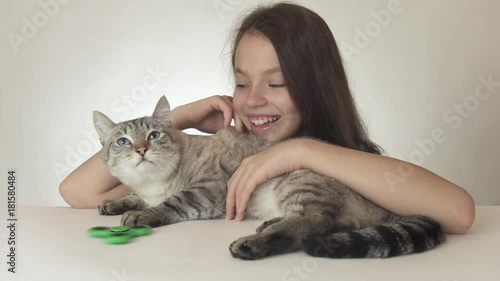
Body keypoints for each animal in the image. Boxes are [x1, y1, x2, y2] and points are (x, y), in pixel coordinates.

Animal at [94, 95, 446, 260]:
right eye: (123, 141)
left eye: (154, 136)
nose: (141, 149)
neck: (155, 183)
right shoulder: (144, 189)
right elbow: (130, 195)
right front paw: (115, 204)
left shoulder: (209, 190)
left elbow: (171, 204)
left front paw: (141, 214)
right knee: (326, 222)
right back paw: (268, 225)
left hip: (297, 181)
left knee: (314, 222)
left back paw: (254, 243)